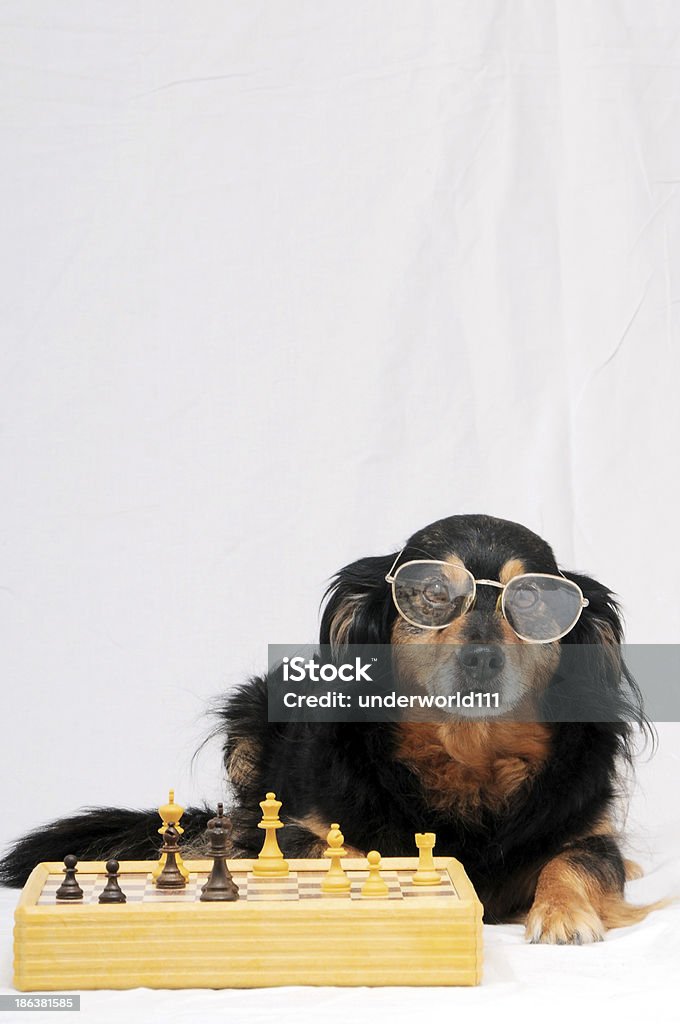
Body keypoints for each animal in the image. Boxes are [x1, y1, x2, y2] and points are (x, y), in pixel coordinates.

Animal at [0, 516, 659, 937]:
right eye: (428, 593)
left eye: (533, 603)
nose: (481, 660)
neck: (467, 757)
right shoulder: (296, 830)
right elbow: (330, 849)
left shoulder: (586, 831)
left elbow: (576, 862)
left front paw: (566, 914)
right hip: (248, 720)